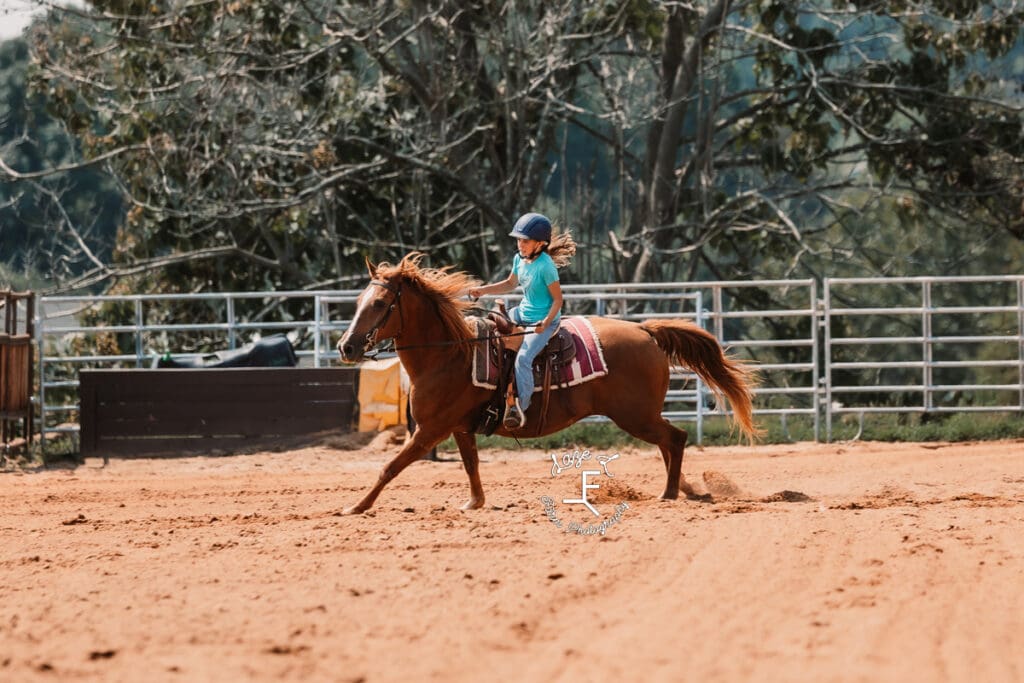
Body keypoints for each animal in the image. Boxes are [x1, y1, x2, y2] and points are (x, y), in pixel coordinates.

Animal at [337, 253, 761, 516]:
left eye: (379, 304)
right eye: (358, 301)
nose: (346, 346)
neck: (450, 355)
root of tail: (646, 332)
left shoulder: (428, 431)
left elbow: (389, 467)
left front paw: (356, 506)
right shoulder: (458, 428)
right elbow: (471, 464)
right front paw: (475, 502)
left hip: (635, 415)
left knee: (675, 439)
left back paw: (670, 493)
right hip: (641, 416)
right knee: (668, 444)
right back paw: (685, 489)